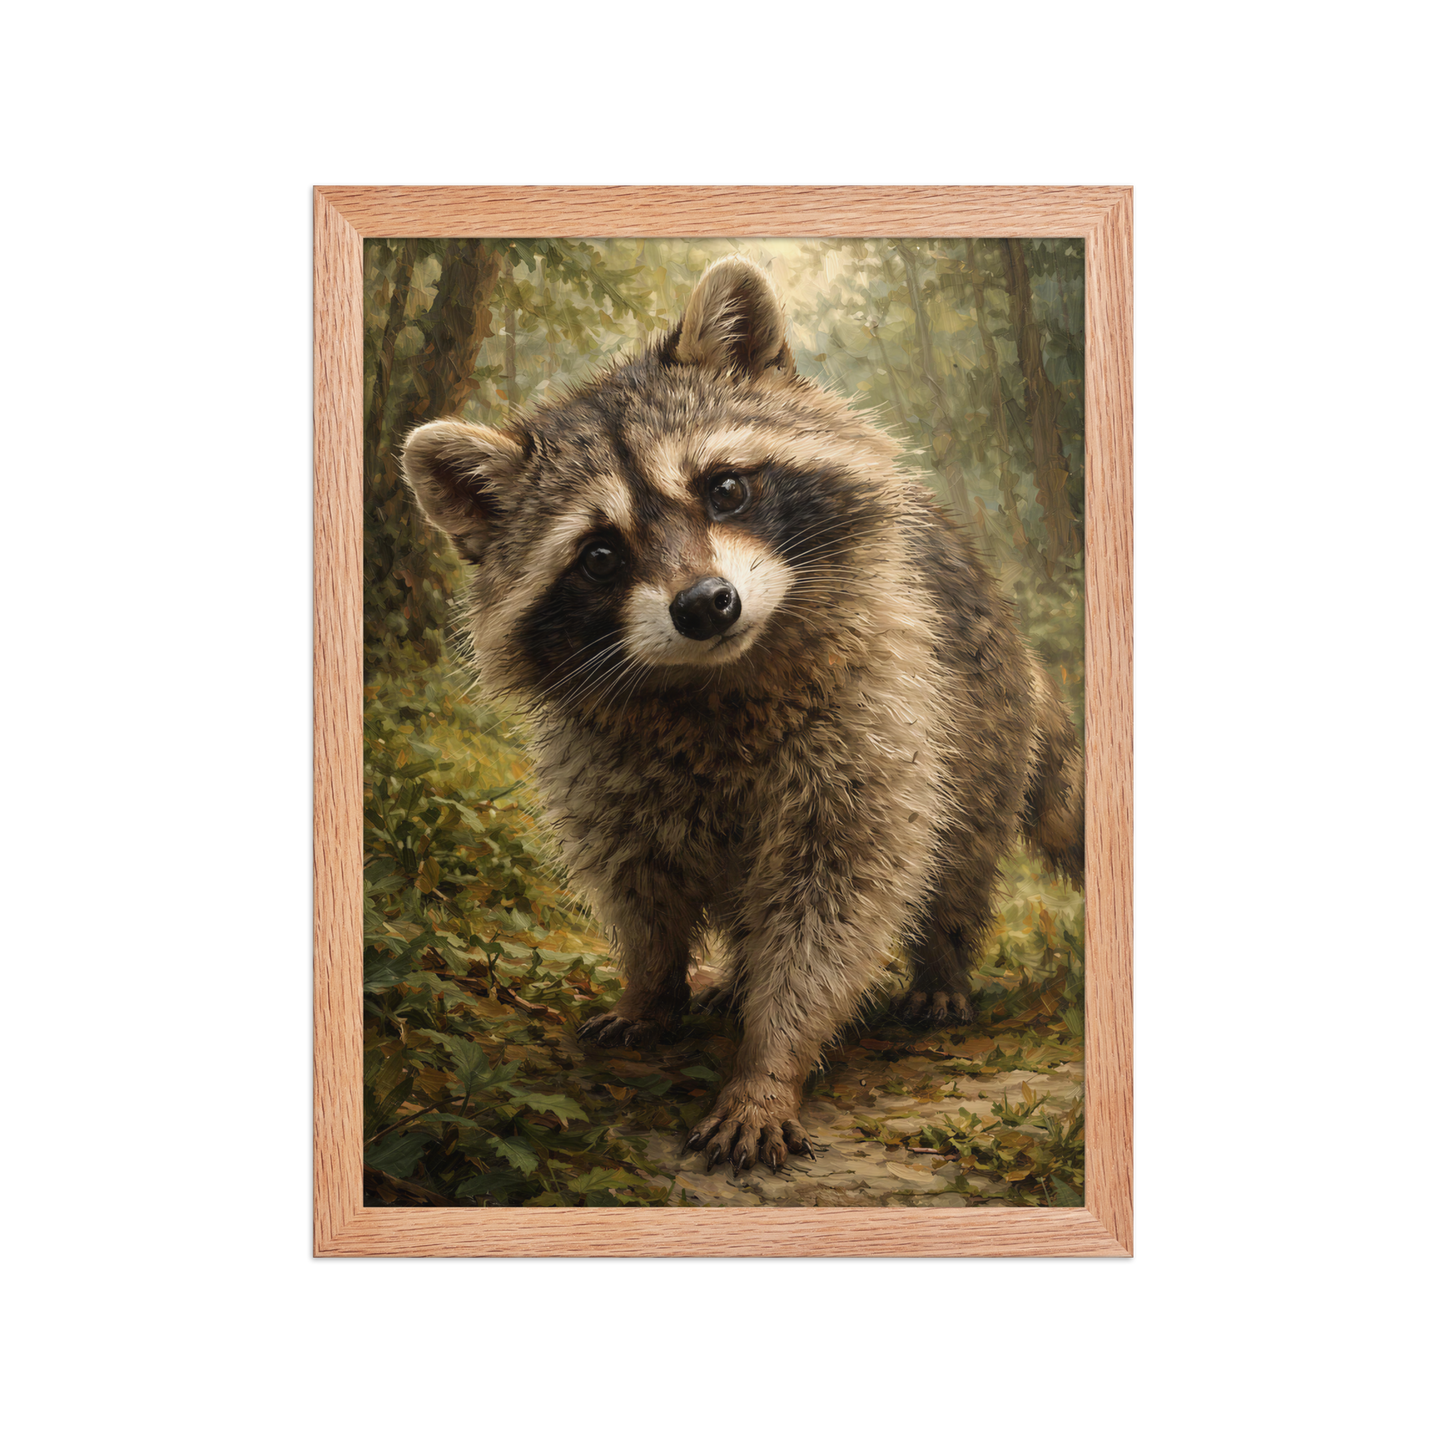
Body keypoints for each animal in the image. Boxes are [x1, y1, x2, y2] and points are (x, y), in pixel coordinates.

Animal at [401, 256, 1083, 1176]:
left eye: (724, 488)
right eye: (599, 555)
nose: (704, 605)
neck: (713, 681)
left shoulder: (875, 719)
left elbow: (835, 902)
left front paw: (769, 1062)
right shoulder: (599, 766)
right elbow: (637, 886)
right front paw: (651, 986)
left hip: (979, 721)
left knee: (958, 856)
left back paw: (940, 962)